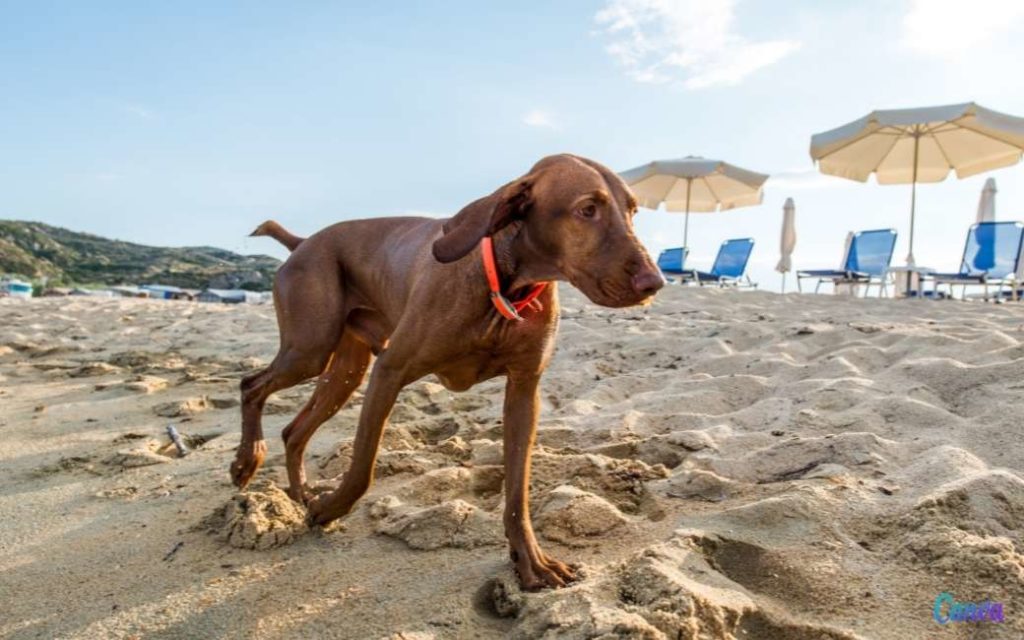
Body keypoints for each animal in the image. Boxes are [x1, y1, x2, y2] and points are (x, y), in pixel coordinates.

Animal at [231, 154, 663, 589]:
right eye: (587, 209)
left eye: (632, 211)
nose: (654, 282)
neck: (506, 284)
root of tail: (304, 241)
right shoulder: (390, 370)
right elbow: (363, 468)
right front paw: (328, 509)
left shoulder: (524, 392)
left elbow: (517, 492)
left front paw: (531, 561)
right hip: (310, 349)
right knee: (251, 386)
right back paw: (247, 463)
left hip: (344, 371)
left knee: (293, 430)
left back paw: (299, 493)